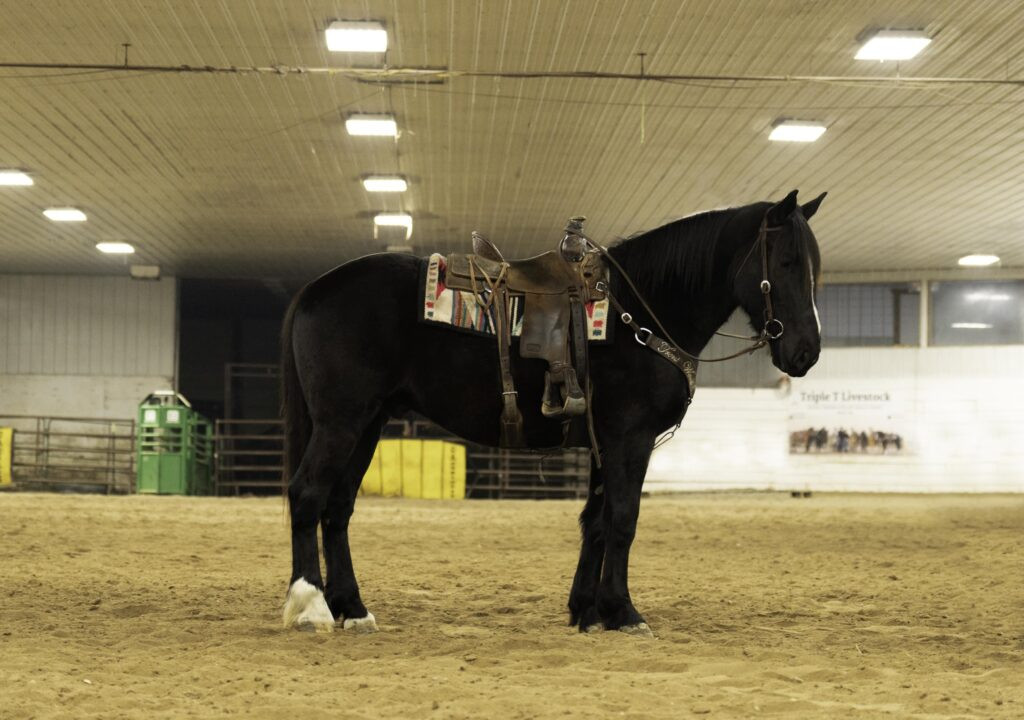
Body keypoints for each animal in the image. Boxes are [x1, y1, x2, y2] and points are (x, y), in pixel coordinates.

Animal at [279, 189, 825, 635]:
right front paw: (624, 612)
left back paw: (352, 608)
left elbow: (596, 521)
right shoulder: (631, 439)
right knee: (308, 495)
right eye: (787, 262)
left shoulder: (605, 444)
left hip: (367, 423)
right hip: (341, 422)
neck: (637, 314)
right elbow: (624, 518)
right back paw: (310, 605)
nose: (807, 351)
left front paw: (587, 610)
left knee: (338, 507)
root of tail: (313, 288)